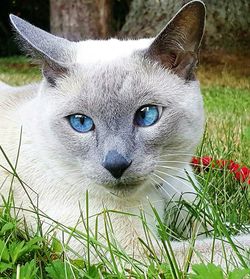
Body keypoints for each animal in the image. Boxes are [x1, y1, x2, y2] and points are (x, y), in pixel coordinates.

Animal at [0, 0, 250, 270]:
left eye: (147, 115)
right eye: (81, 122)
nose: (116, 165)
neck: (157, 191)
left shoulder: (201, 218)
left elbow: (230, 230)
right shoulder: (139, 255)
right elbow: (231, 247)